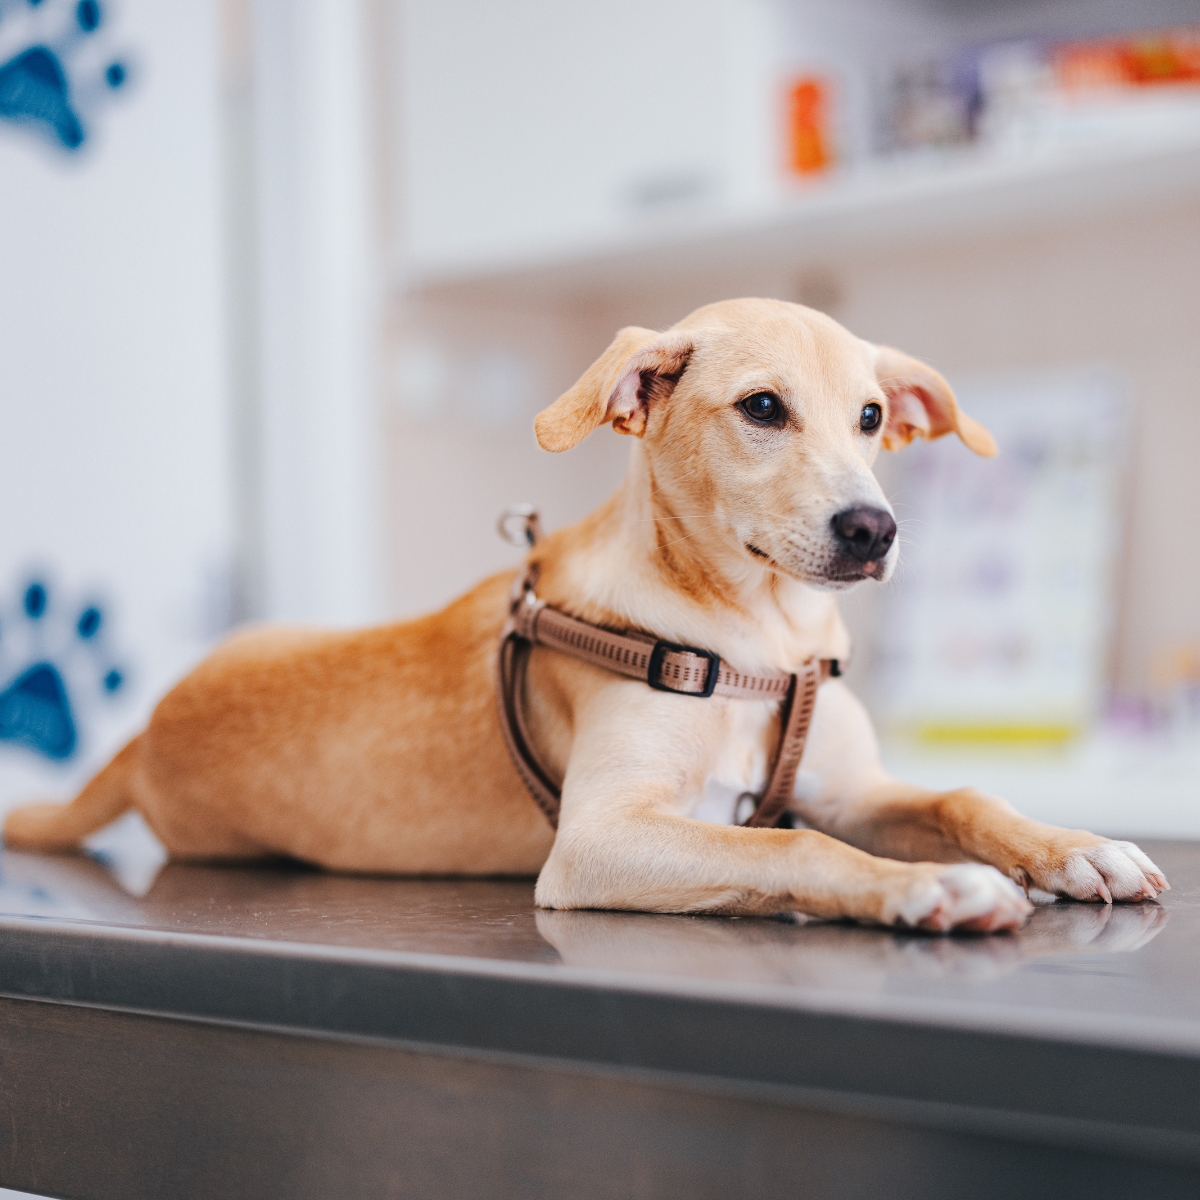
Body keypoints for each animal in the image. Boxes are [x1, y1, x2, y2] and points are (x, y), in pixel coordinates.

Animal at [4, 297, 1166, 926]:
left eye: (874, 417)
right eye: (762, 408)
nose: (873, 530)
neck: (761, 642)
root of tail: (142, 740)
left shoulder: (854, 788)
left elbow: (962, 792)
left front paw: (1072, 847)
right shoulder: (601, 839)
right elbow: (789, 852)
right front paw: (928, 892)